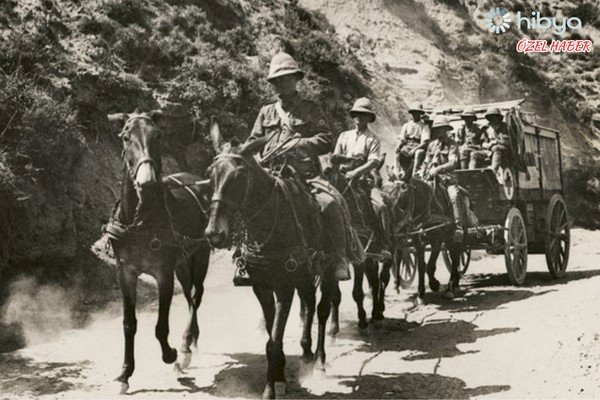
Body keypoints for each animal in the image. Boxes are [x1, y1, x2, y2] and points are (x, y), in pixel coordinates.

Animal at [106, 111, 213, 394]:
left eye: (157, 135)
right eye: (125, 136)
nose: (147, 183)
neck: (141, 221)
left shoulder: (163, 273)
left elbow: (161, 326)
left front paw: (171, 355)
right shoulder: (125, 272)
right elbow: (129, 324)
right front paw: (125, 373)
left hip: (201, 255)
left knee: (196, 296)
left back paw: (185, 347)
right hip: (182, 263)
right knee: (189, 297)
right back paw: (191, 341)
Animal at [205, 123, 338, 398]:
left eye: (239, 176)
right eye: (210, 174)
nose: (214, 233)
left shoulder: (284, 287)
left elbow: (274, 340)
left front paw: (270, 388)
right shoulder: (261, 287)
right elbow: (270, 336)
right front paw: (279, 378)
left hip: (328, 269)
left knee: (322, 310)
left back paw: (319, 361)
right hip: (304, 274)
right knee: (309, 303)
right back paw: (306, 351)